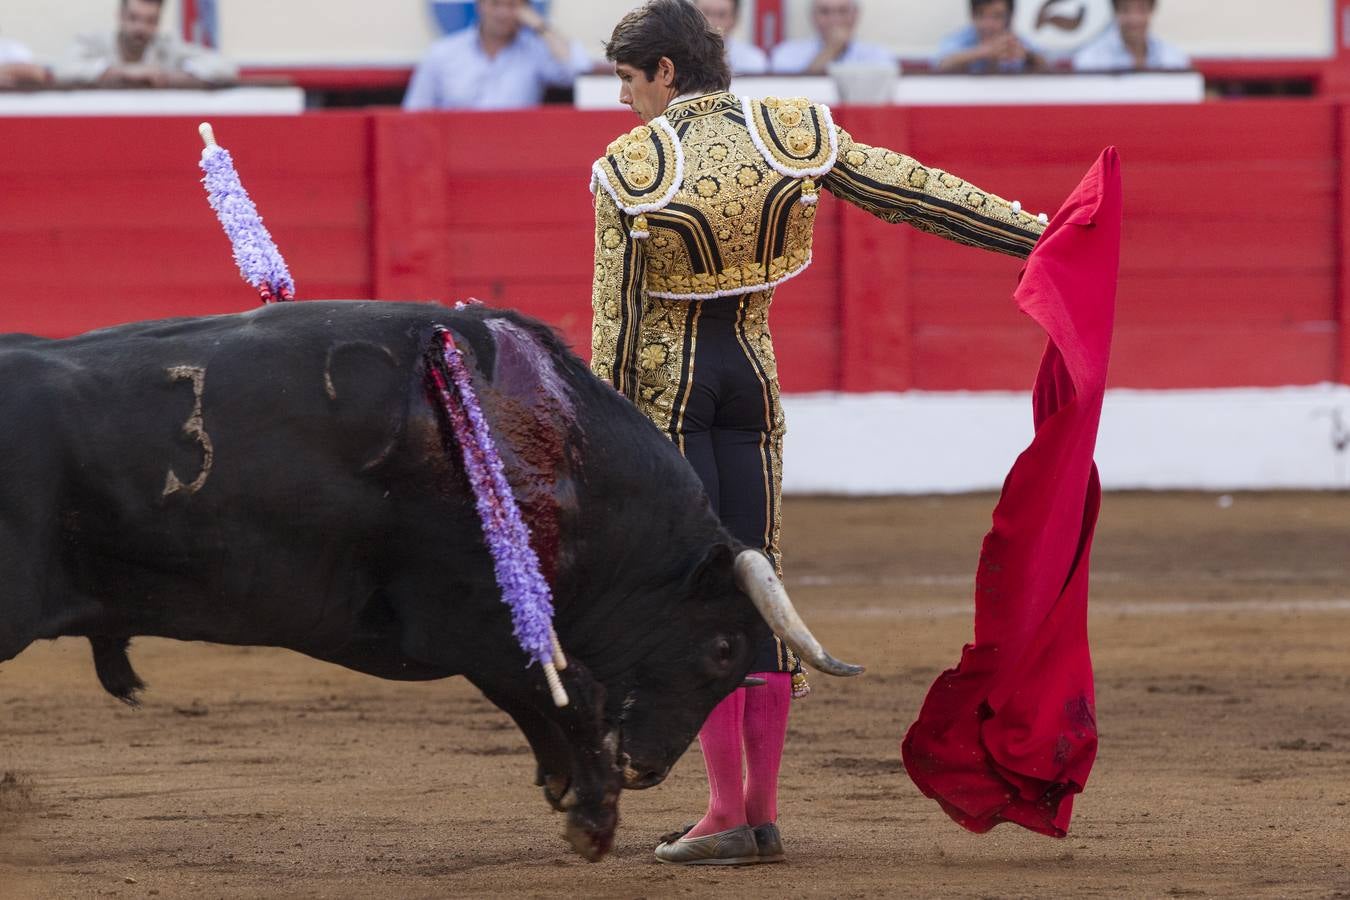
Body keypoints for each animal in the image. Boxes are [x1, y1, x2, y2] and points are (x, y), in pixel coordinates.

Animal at [0, 300, 858, 858]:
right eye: (722, 650)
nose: (643, 769)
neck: (558, 450)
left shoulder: (477, 626)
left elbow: (538, 696)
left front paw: (567, 788)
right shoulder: (474, 613)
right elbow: (565, 690)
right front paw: (591, 820)